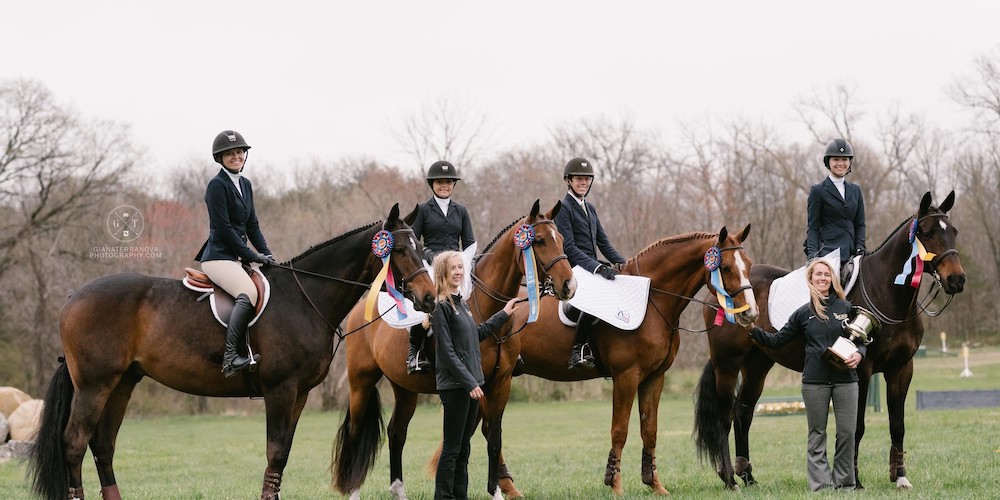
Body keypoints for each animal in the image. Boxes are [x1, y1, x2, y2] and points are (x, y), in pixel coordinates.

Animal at [26, 203, 434, 500]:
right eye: (399, 249)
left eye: (423, 248)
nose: (430, 298)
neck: (304, 298)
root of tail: (73, 297)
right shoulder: (280, 389)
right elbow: (275, 451)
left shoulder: (299, 393)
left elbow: (283, 454)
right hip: (94, 385)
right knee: (75, 443)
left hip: (122, 383)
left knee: (103, 444)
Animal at [332, 200, 576, 500]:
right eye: (539, 240)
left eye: (561, 238)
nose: (569, 285)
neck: (486, 314)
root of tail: (359, 309)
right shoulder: (472, 385)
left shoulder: (499, 384)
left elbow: (493, 439)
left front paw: (496, 492)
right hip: (361, 382)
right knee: (355, 434)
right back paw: (354, 490)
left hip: (404, 388)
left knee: (397, 432)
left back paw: (399, 490)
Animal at [486, 224, 756, 496]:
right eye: (725, 267)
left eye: (749, 264)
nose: (750, 313)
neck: (652, 302)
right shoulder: (626, 375)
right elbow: (620, 430)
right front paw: (615, 485)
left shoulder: (654, 377)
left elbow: (650, 430)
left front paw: (655, 485)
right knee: (491, 429)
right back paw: (507, 487)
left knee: (490, 429)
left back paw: (507, 486)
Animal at [696, 190, 968, 488]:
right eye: (927, 233)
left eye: (953, 231)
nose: (957, 280)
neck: (886, 294)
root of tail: (718, 291)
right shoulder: (861, 369)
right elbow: (856, 426)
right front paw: (855, 480)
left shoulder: (901, 369)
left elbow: (897, 425)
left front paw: (900, 478)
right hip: (727, 365)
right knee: (725, 417)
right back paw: (729, 478)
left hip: (757, 365)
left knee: (743, 413)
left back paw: (748, 476)